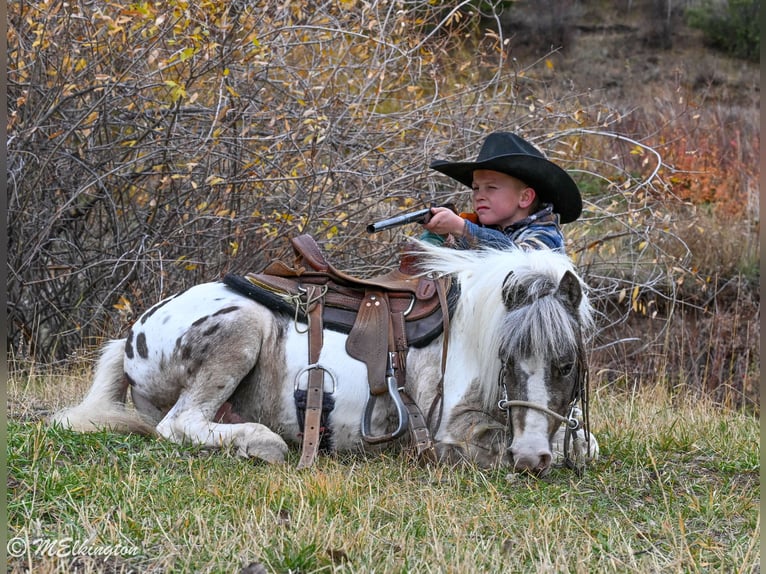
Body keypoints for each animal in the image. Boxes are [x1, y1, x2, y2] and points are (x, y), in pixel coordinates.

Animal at [51, 243, 598, 476]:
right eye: (506, 359)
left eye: (567, 365)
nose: (530, 458)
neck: (466, 333)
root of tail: (132, 337)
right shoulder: (454, 428)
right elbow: (480, 447)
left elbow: (584, 444)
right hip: (242, 327)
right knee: (179, 424)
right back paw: (262, 443)